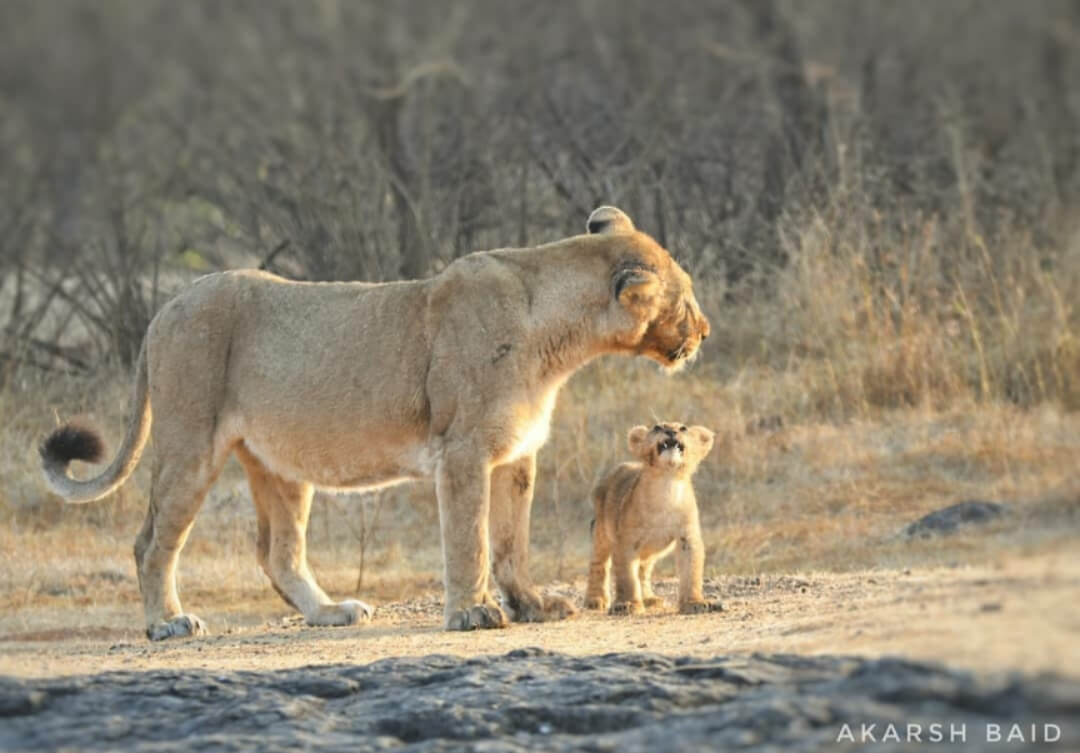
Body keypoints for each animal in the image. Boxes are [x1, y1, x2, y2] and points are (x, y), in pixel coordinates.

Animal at [584, 421, 722, 615]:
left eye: (683, 428)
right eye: (657, 427)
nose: (671, 431)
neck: (667, 484)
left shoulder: (687, 536)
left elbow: (691, 570)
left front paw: (695, 603)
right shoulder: (626, 540)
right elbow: (626, 576)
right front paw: (628, 604)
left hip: (650, 549)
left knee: (643, 569)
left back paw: (649, 599)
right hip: (601, 531)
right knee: (599, 564)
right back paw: (595, 600)